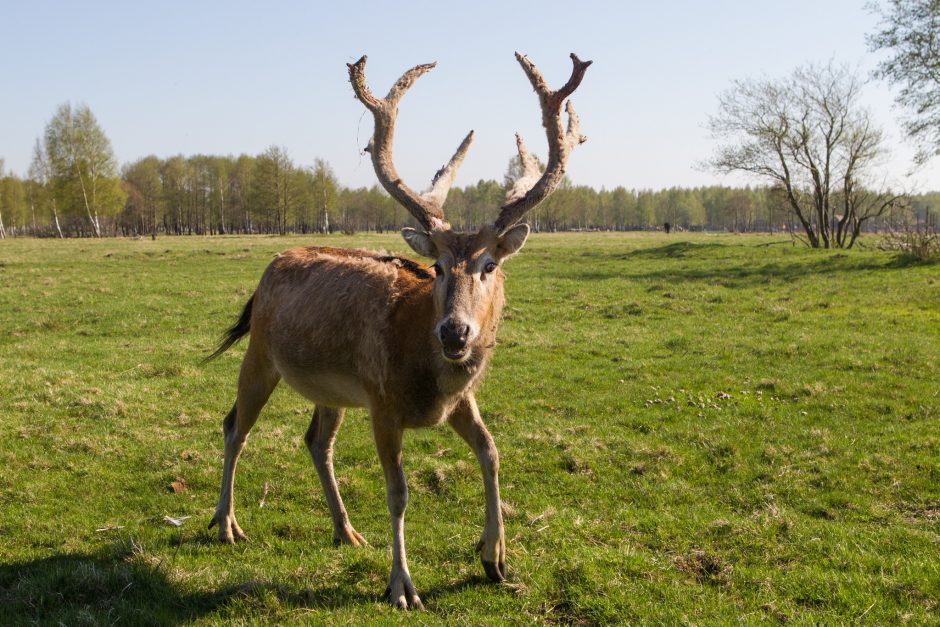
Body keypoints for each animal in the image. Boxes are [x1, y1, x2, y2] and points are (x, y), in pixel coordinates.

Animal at [208, 51, 592, 612]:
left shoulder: (458, 401)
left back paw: (346, 531)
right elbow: (399, 493)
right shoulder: (383, 403)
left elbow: (492, 451)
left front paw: (495, 558)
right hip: (259, 352)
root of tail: (267, 270)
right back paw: (225, 524)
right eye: (437, 267)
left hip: (332, 389)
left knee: (315, 441)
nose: (454, 333)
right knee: (235, 425)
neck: (425, 369)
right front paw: (402, 586)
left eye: (490, 264)